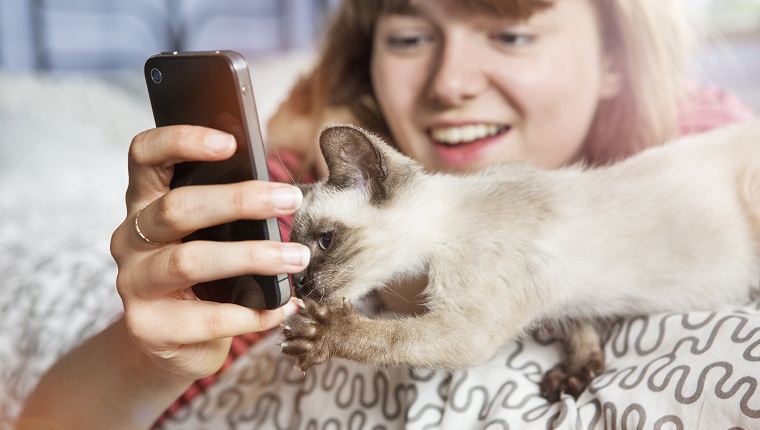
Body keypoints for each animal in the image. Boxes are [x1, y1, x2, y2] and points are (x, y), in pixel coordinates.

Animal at [280, 122, 760, 402]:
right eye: (296, 255)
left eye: (325, 241)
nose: (299, 287)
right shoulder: (565, 301)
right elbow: (580, 328)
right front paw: (577, 374)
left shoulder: (468, 329)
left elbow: (391, 337)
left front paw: (319, 333)